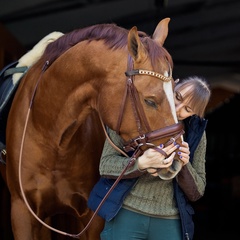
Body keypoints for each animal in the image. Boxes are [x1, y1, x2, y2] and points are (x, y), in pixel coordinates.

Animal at [4, 18, 183, 240]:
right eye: (150, 101)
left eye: (175, 94)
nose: (176, 160)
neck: (51, 133)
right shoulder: (22, 213)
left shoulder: (92, 217)